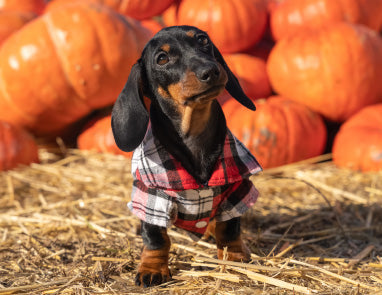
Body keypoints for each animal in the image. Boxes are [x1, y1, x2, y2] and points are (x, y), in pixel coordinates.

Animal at [112, 26, 262, 290]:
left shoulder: (236, 188)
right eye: (162, 59)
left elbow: (229, 229)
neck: (194, 133)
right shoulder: (152, 195)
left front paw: (235, 257)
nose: (210, 71)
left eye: (203, 40)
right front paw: (152, 269)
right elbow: (156, 238)